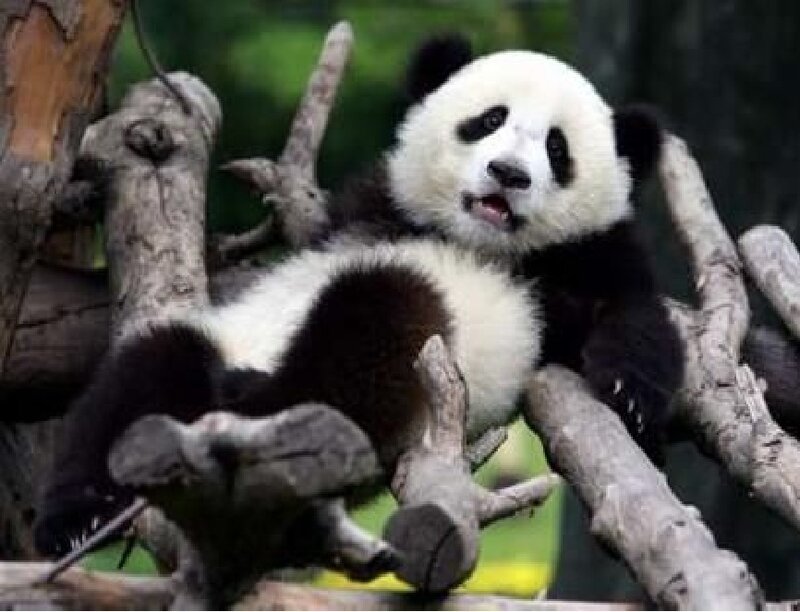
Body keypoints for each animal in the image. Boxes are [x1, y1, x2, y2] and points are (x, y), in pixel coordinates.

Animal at [35, 35, 683, 556]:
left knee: (367, 331)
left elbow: (629, 311)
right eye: (488, 120)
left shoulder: (570, 265)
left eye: (556, 149)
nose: (508, 174)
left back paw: (253, 409)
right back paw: (76, 519)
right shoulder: (370, 207)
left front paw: (630, 395)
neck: (466, 238)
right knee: (145, 373)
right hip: (215, 347)